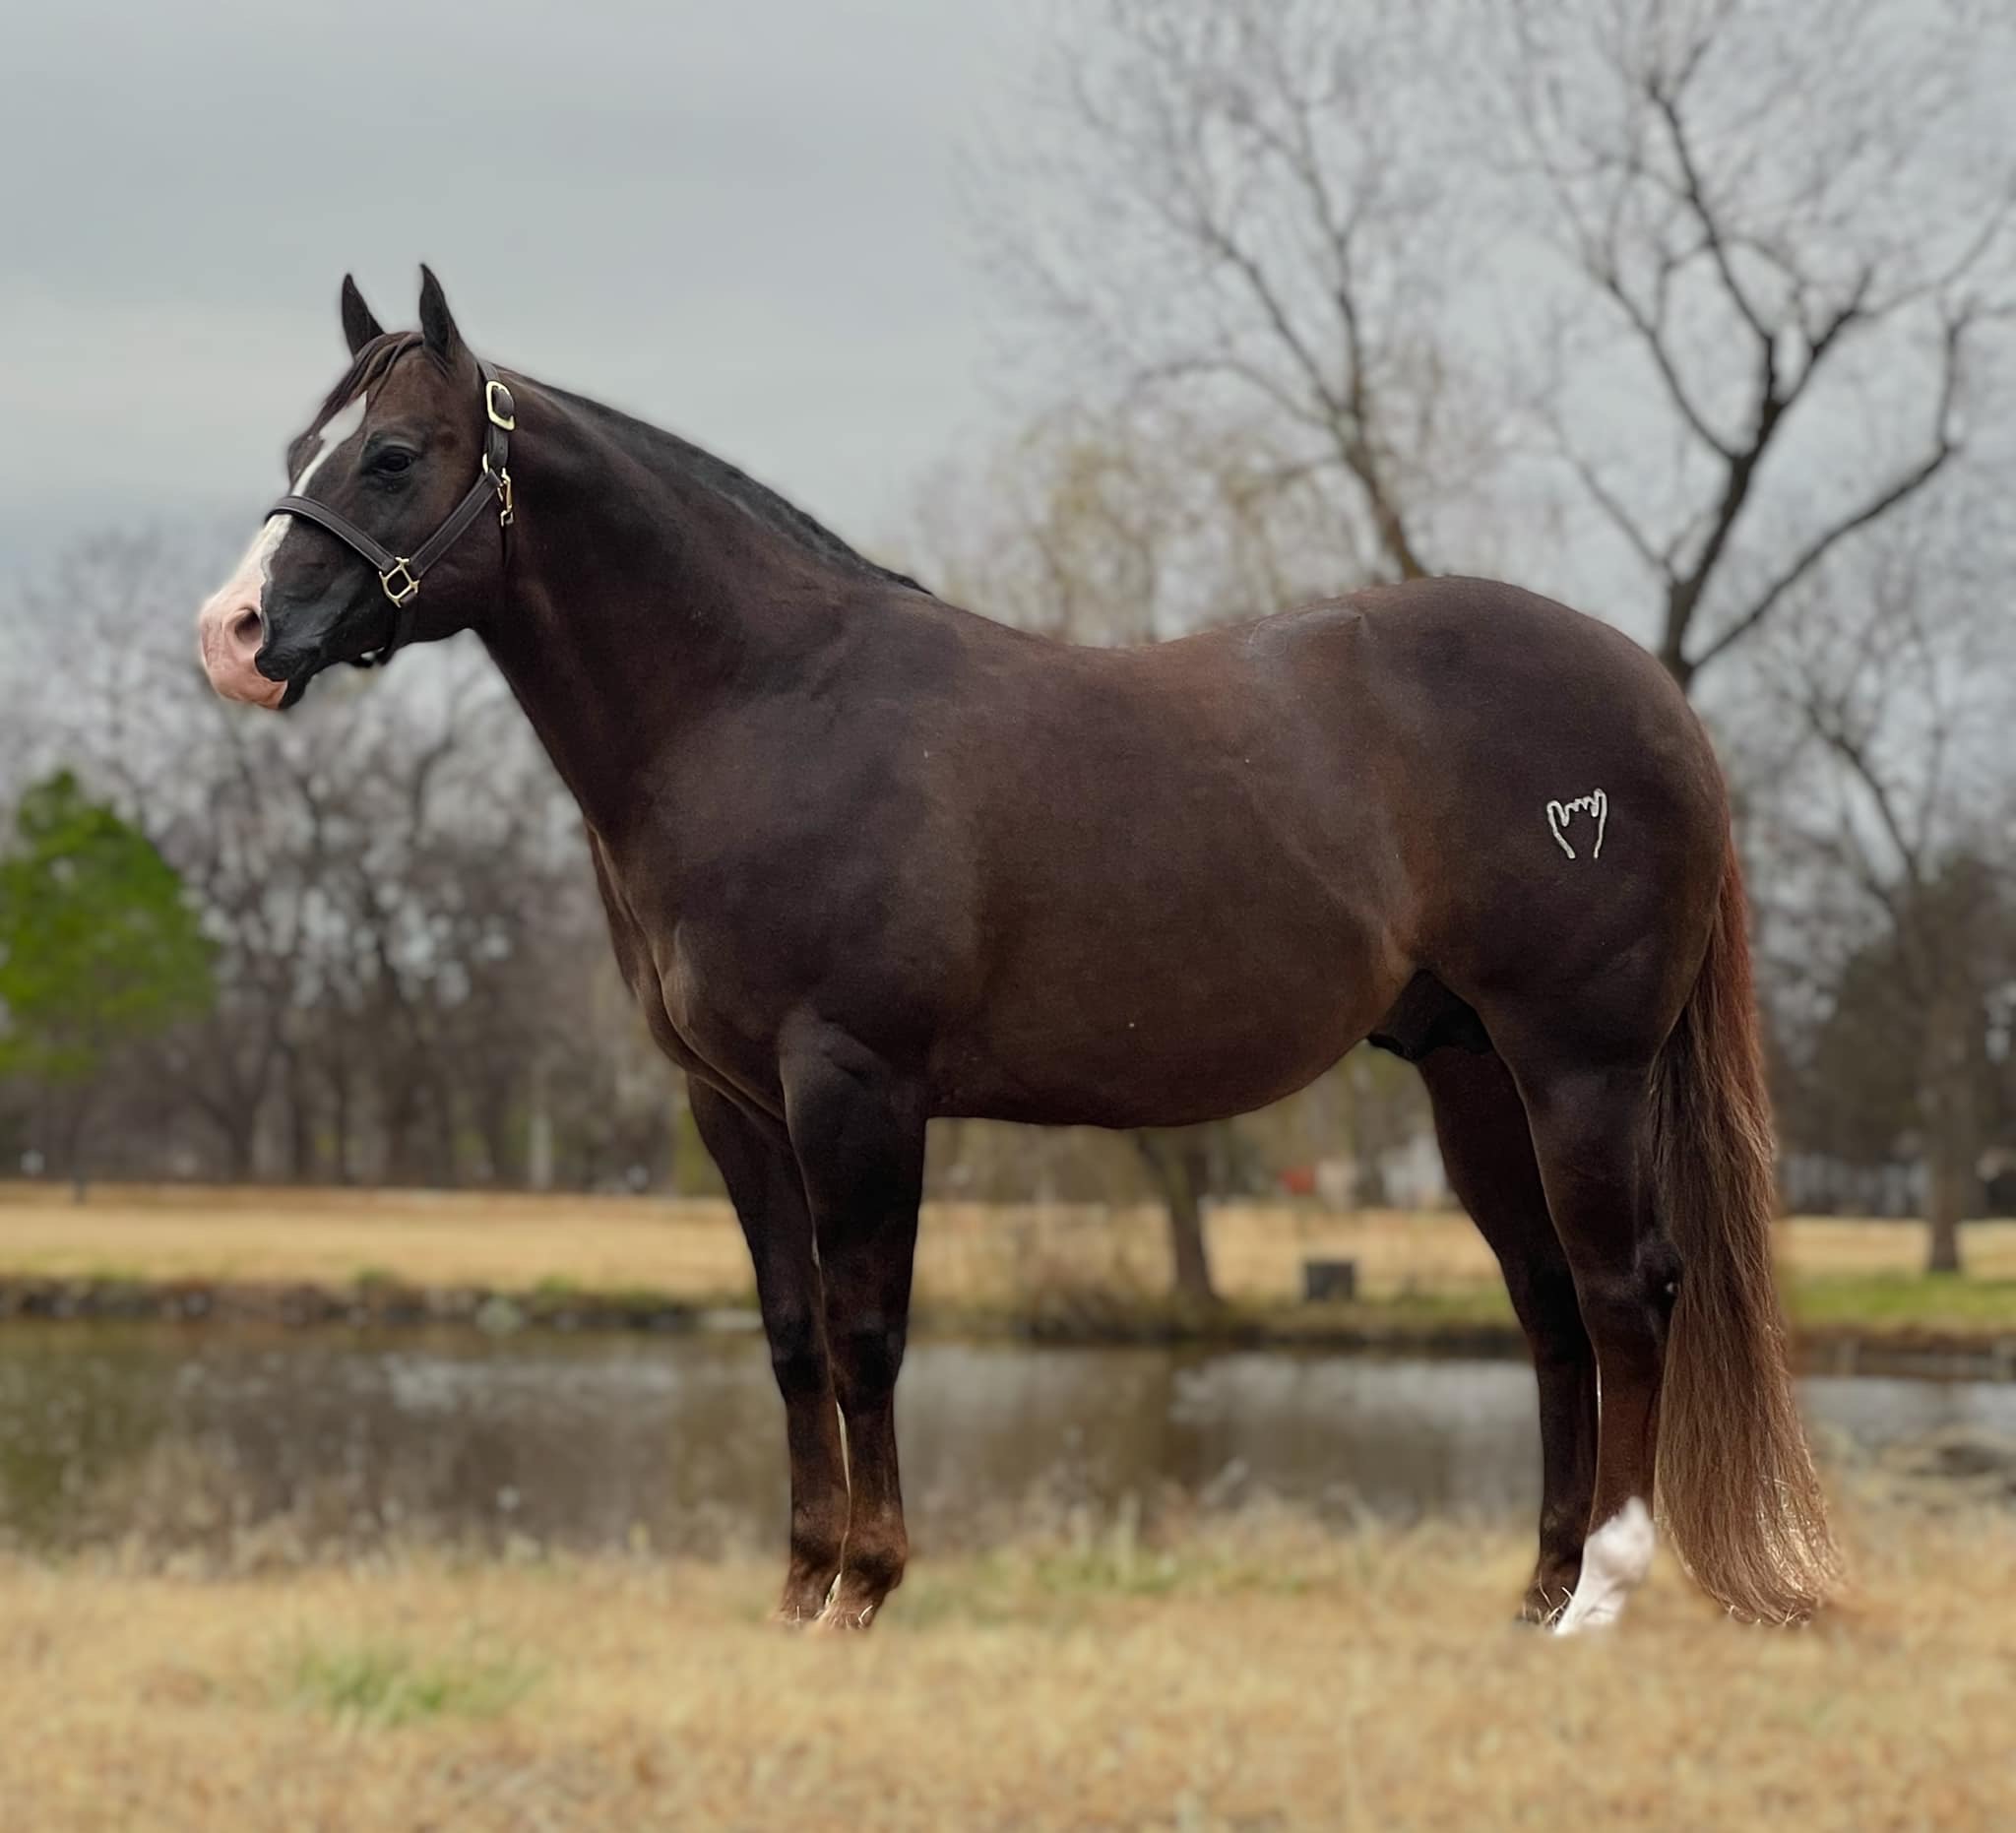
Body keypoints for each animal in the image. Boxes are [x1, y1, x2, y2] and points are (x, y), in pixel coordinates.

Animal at [196, 272, 1838, 1629]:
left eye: (392, 456)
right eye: (299, 448)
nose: (233, 635)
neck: (763, 708)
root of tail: (1655, 695)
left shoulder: (853, 1083)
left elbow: (865, 1329)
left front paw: (867, 1586)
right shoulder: (728, 1105)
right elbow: (789, 1335)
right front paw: (798, 1586)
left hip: (1580, 1067)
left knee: (1627, 1293)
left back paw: (1604, 1595)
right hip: (1472, 1072)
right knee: (1552, 1310)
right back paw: (1539, 1591)